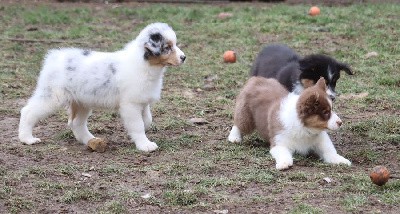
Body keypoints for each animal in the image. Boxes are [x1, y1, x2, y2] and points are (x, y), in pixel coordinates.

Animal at [18, 22, 186, 152]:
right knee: (28, 111)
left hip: (81, 102)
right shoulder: (130, 105)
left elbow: (147, 120)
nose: (184, 57)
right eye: (167, 47)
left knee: (76, 123)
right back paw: (27, 138)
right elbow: (137, 125)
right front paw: (145, 145)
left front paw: (144, 132)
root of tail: (54, 56)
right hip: (52, 96)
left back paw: (90, 140)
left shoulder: (142, 102)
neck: (145, 64)